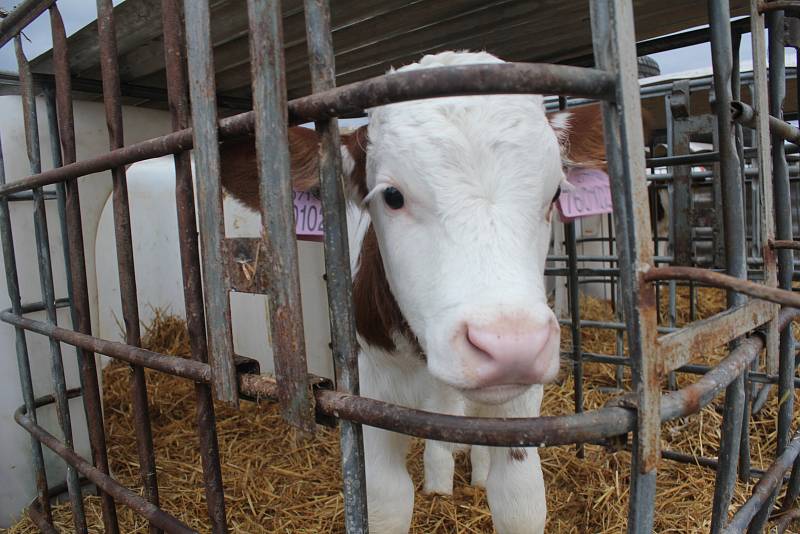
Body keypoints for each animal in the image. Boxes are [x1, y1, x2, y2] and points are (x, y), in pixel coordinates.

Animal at [219, 51, 608, 534]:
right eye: (392, 195)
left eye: (554, 192)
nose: (511, 345)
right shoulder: (372, 399)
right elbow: (386, 501)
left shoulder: (520, 411)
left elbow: (520, 502)